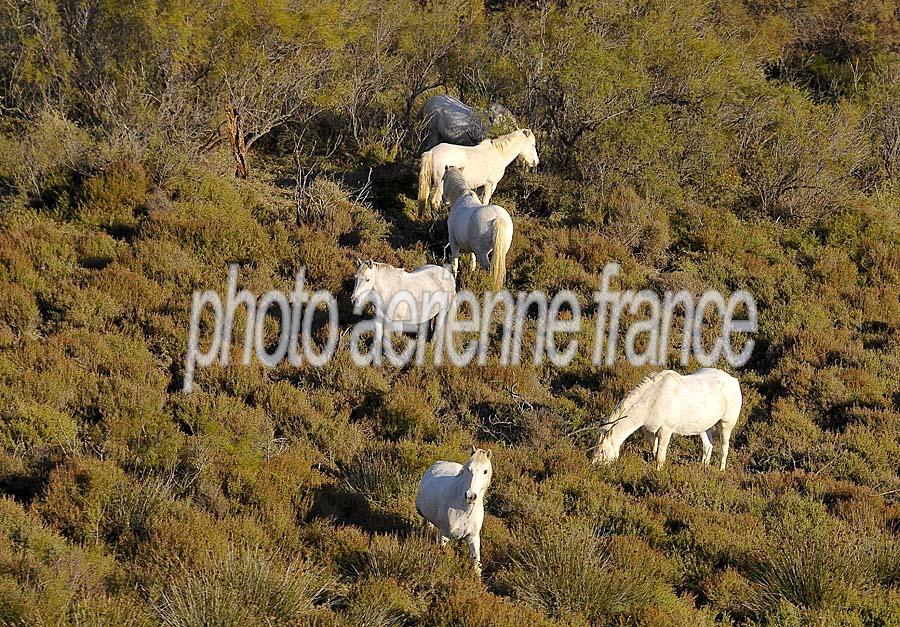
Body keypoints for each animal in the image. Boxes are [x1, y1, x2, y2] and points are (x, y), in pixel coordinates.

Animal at [414, 448, 492, 576]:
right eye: (468, 469)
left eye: (485, 471)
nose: (470, 496)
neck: (464, 511)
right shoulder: (444, 536)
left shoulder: (473, 537)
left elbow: (476, 564)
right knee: (427, 524)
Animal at [588, 370, 740, 468]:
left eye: (602, 451)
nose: (593, 465)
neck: (653, 399)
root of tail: (733, 380)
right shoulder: (649, 431)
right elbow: (655, 452)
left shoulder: (665, 431)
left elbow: (660, 457)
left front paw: (658, 473)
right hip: (703, 427)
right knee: (708, 446)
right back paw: (704, 469)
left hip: (726, 425)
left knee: (724, 448)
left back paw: (721, 470)